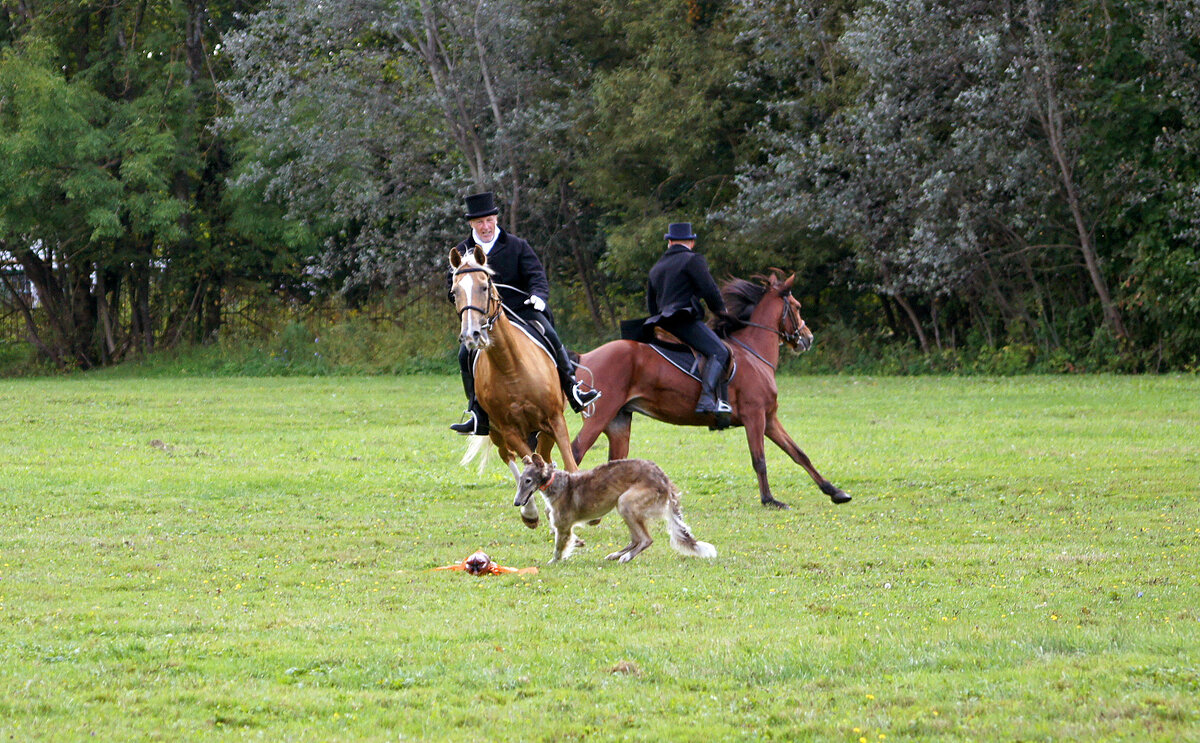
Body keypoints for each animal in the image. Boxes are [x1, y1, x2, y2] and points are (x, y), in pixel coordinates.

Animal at [513, 453, 715, 564]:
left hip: (626, 503)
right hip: (626, 507)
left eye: (528, 481)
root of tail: (663, 478)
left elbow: (558, 549)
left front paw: (552, 562)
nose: (516, 503)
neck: (558, 483)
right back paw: (615, 555)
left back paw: (626, 557)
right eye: (520, 481)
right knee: (636, 539)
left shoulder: (563, 527)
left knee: (646, 539)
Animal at [568, 273, 844, 511]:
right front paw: (769, 500)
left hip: (618, 423)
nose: (808, 338)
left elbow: (799, 454)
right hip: (599, 417)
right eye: (796, 306)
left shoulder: (769, 419)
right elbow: (760, 460)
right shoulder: (755, 417)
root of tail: (585, 357)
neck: (754, 352)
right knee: (574, 453)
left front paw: (834, 492)